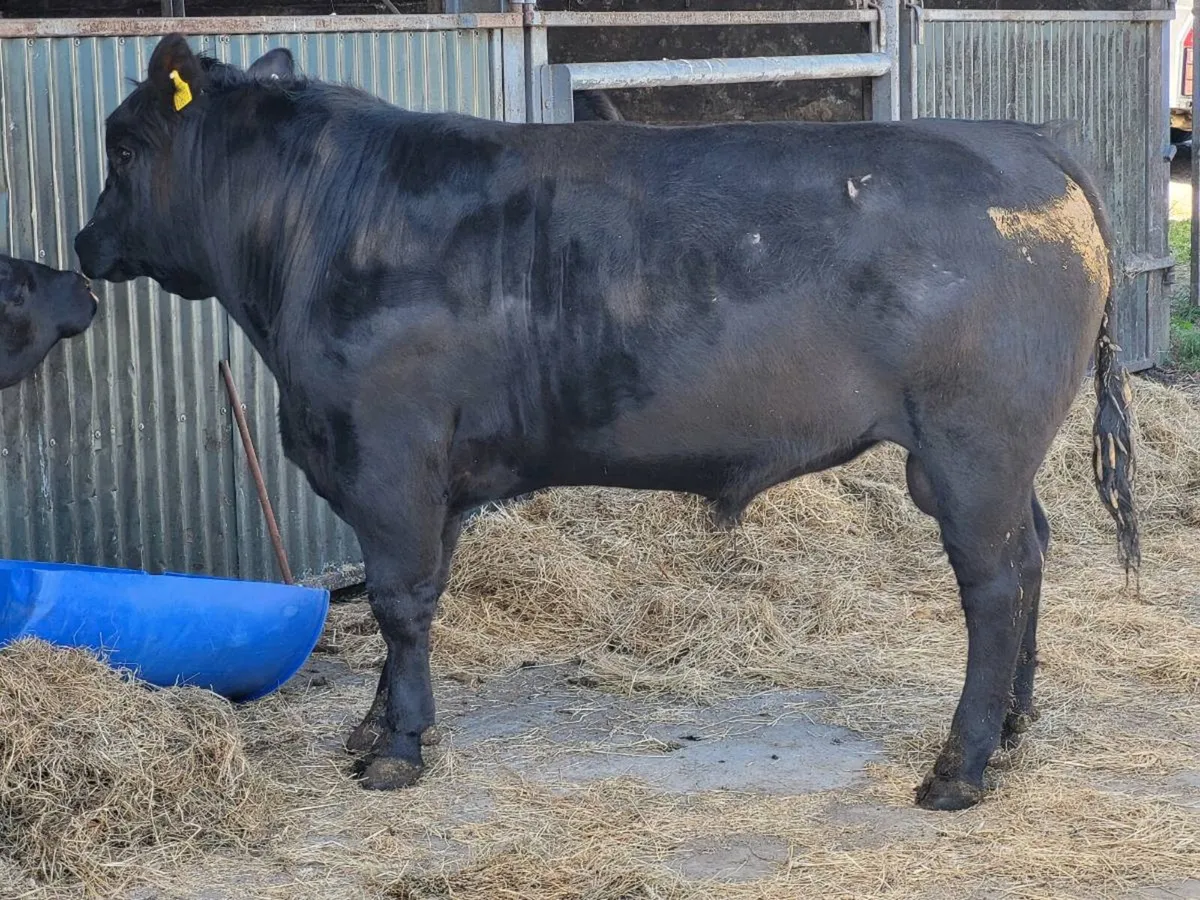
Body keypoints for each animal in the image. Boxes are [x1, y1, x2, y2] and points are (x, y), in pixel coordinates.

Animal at [75, 35, 1139, 811]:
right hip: (998, 458)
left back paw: (960, 766)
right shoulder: (434, 478)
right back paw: (1014, 726)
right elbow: (412, 600)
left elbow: (399, 603)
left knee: (995, 584)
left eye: (122, 148)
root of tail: (1023, 137)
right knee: (1036, 551)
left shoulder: (389, 456)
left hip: (971, 448)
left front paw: (399, 749)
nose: (83, 245)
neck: (322, 226)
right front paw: (375, 725)